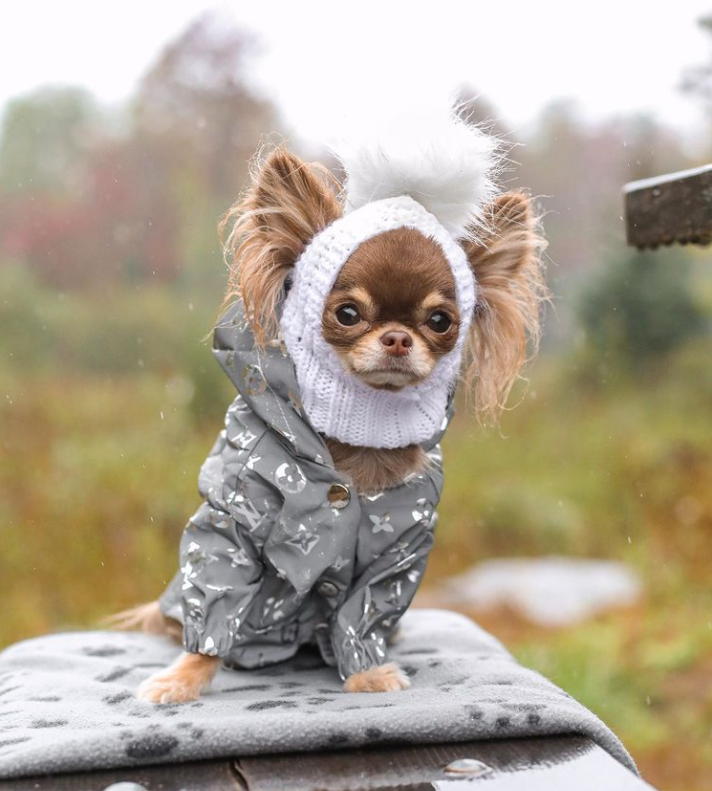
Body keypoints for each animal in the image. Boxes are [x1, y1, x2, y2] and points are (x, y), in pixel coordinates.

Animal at [110, 106, 544, 704]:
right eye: (347, 313)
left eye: (440, 321)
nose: (398, 337)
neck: (355, 448)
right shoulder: (230, 529)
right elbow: (215, 596)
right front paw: (184, 678)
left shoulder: (398, 555)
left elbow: (363, 613)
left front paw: (367, 671)